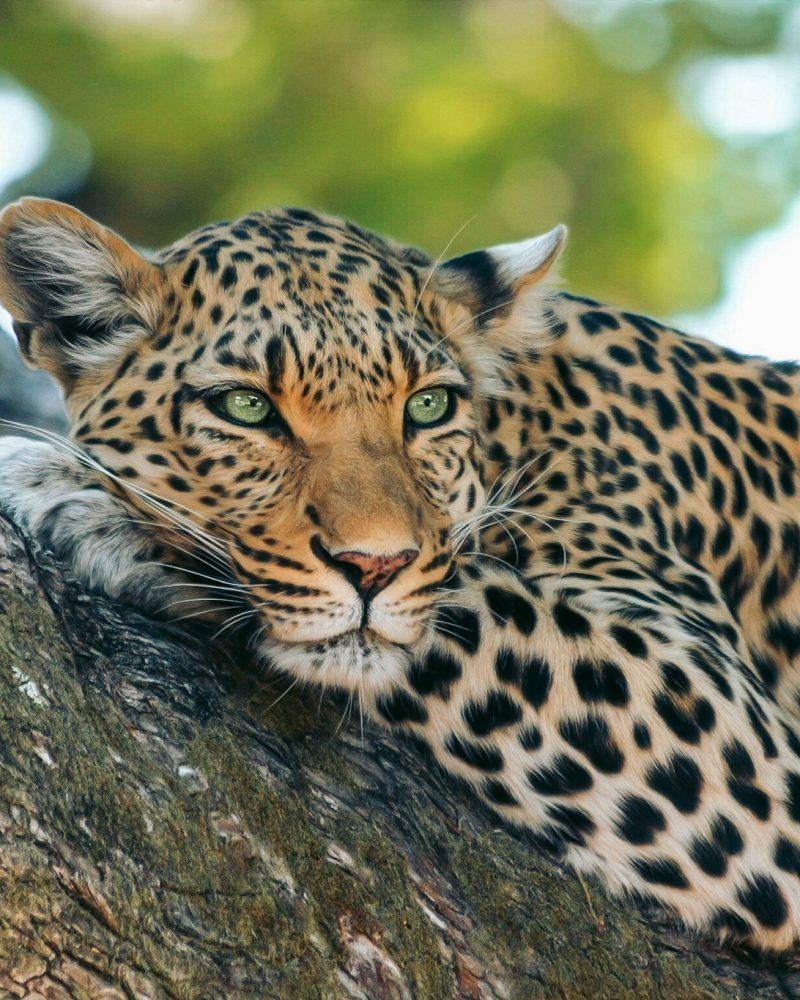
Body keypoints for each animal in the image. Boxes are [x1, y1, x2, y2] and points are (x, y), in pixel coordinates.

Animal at [3, 196, 800, 951]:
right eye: (246, 407)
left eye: (428, 405)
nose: (374, 565)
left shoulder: (730, 724)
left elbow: (459, 598)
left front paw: (80, 496)